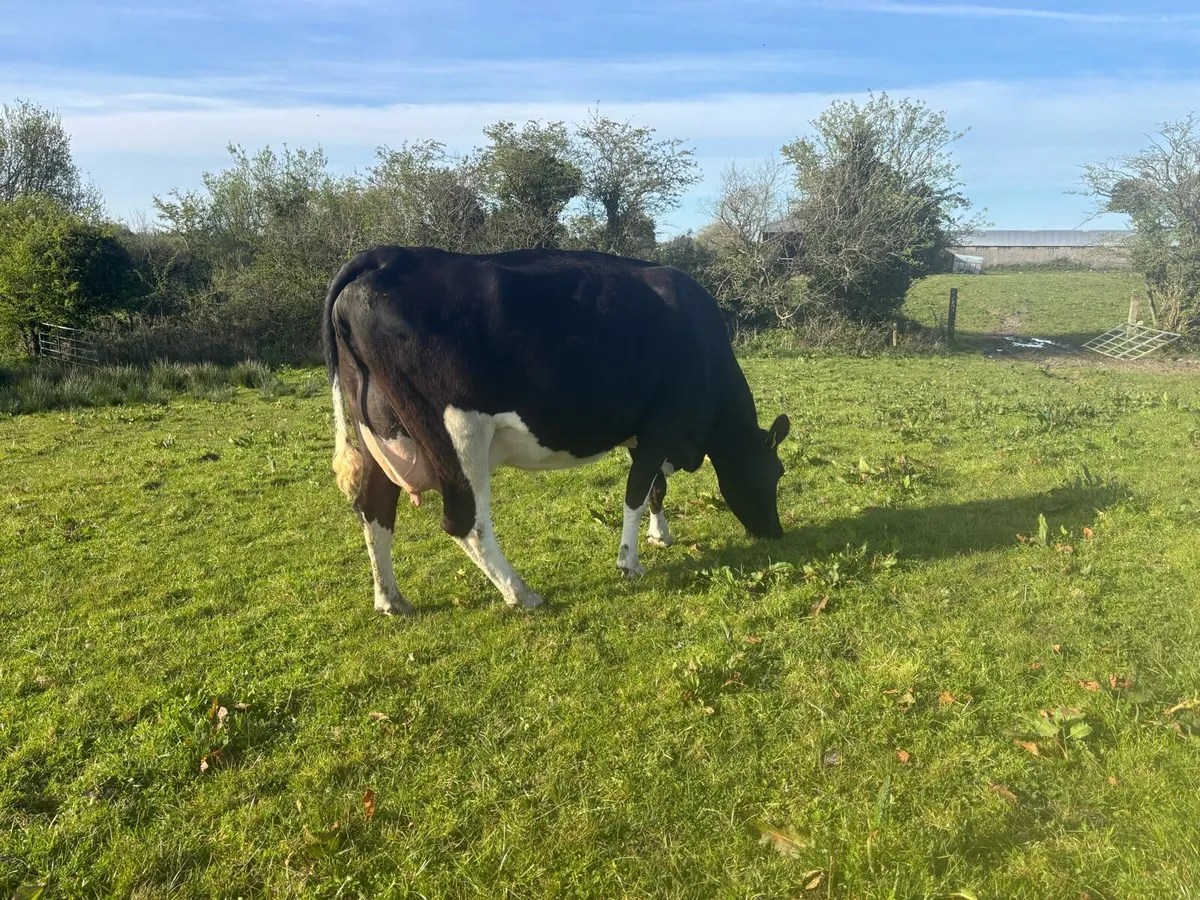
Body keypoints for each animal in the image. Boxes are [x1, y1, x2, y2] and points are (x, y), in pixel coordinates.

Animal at [324, 245, 791, 614]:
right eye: (776, 473)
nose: (776, 534)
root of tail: (388, 256)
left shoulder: (644, 431)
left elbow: (656, 487)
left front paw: (661, 536)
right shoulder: (663, 422)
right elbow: (637, 492)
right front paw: (630, 562)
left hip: (378, 430)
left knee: (373, 507)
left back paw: (391, 600)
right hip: (456, 432)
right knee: (465, 521)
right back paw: (521, 593)